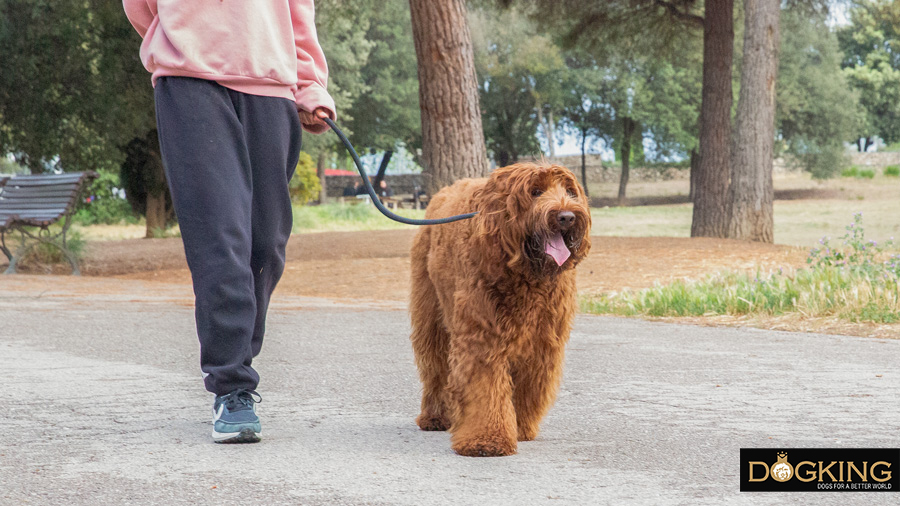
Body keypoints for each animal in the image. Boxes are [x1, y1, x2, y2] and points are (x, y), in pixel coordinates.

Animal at [408, 164, 592, 456]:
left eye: (570, 191)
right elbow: (485, 388)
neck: (526, 273)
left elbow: (528, 387)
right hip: (431, 316)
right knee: (436, 369)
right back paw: (435, 416)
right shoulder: (482, 336)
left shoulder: (541, 342)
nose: (567, 216)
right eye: (535, 192)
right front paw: (486, 439)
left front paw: (520, 427)